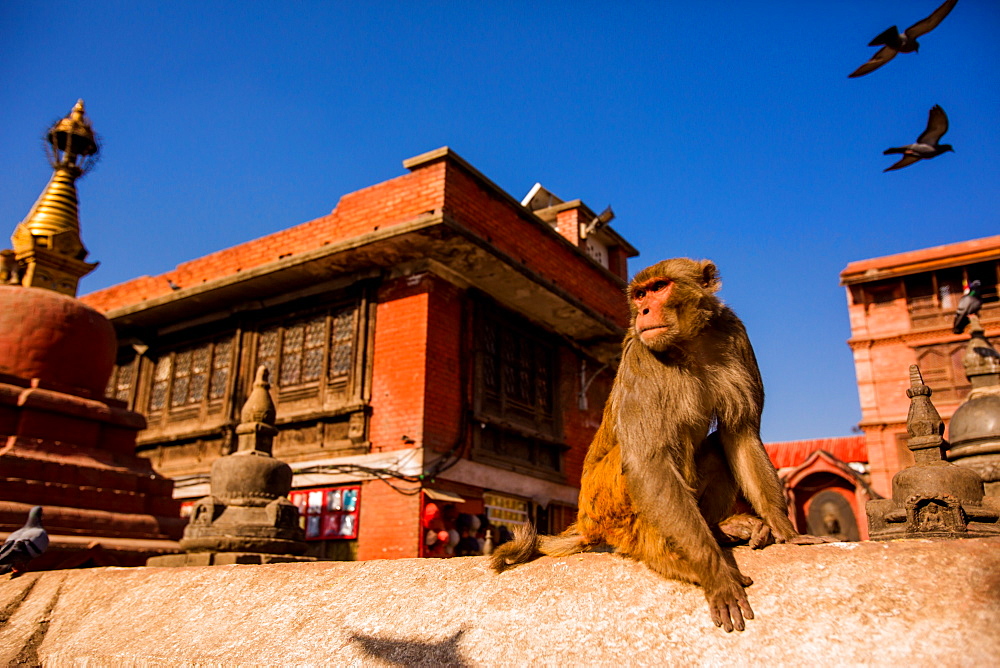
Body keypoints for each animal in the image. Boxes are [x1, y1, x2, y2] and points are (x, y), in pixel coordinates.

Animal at [492, 260, 820, 632]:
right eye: (640, 295)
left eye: (660, 287)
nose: (645, 310)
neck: (689, 343)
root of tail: (586, 524)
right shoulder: (641, 354)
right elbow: (648, 461)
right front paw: (715, 571)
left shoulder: (736, 335)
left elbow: (741, 434)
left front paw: (786, 530)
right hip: (605, 503)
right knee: (642, 458)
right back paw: (668, 556)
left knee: (717, 449)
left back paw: (720, 531)